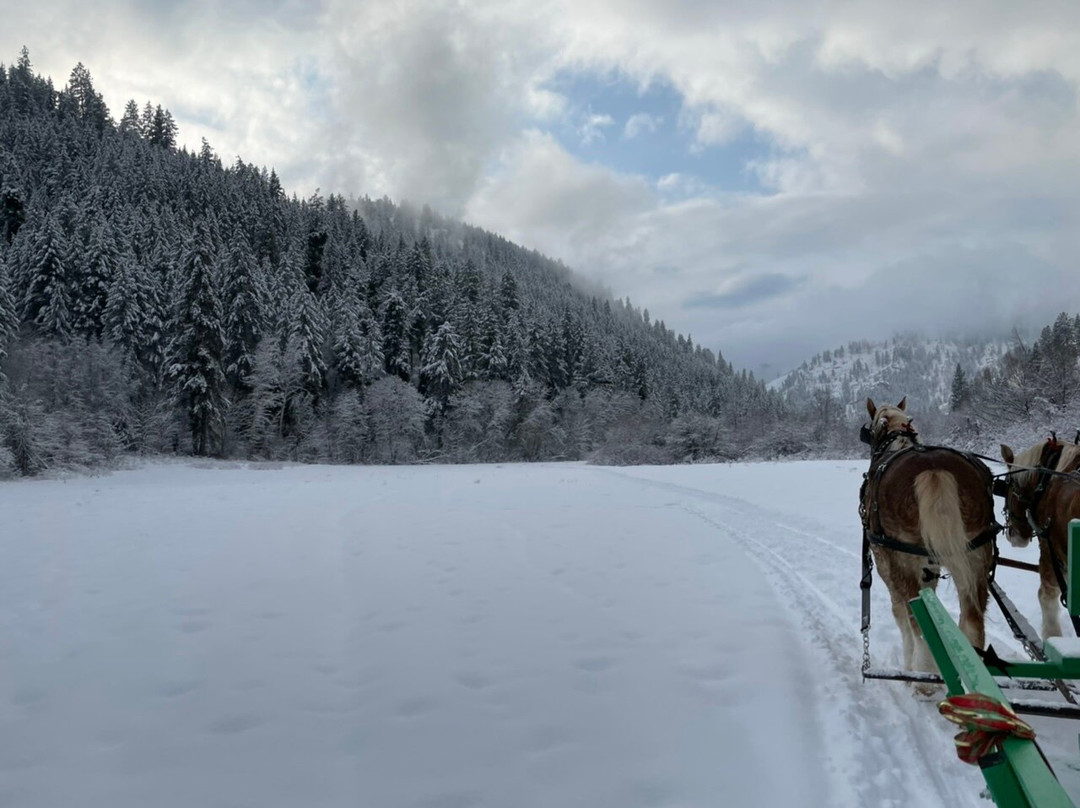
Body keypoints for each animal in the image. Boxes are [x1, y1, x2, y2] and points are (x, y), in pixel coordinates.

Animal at [855, 399, 997, 674]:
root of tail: (933, 469)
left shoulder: (887, 564)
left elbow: (901, 617)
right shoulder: (931, 566)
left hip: (904, 562)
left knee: (918, 626)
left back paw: (920, 676)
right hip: (976, 556)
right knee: (973, 622)